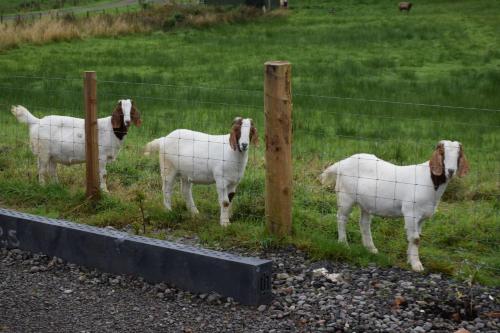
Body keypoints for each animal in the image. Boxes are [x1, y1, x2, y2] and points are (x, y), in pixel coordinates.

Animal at [11, 98, 141, 191]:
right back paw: (43, 186)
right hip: (43, 152)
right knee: (42, 170)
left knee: (52, 170)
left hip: (52, 155)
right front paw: (105, 191)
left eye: (131, 110)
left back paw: (57, 186)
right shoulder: (101, 156)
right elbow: (103, 174)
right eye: (120, 111)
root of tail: (37, 121)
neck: (111, 130)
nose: (127, 121)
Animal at [320, 140, 468, 270]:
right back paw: (344, 244)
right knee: (341, 218)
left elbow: (416, 237)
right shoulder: (410, 211)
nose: (451, 171)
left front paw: (410, 259)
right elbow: (415, 239)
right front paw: (416, 265)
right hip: (345, 196)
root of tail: (342, 163)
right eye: (442, 153)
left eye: (458, 155)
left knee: (364, 223)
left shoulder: (421, 217)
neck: (429, 181)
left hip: (366, 202)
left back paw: (371, 248)